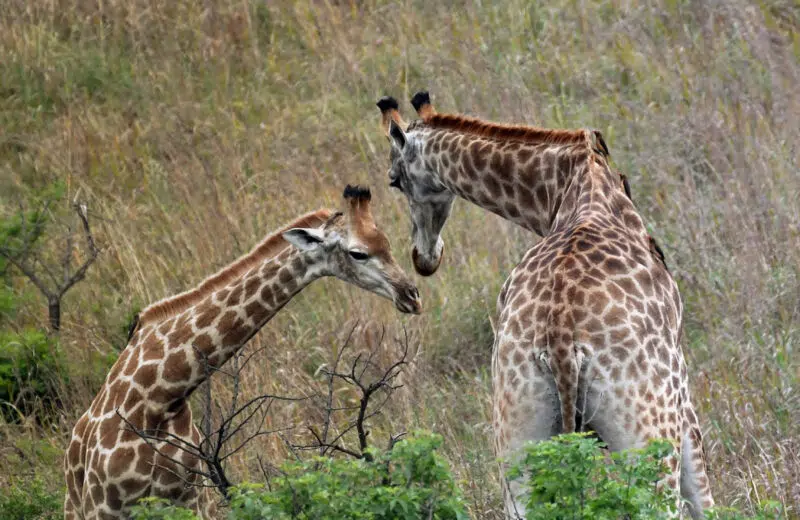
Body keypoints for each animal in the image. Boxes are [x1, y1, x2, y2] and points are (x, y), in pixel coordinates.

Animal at [65, 185, 422, 516]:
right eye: (358, 253)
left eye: (387, 244)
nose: (412, 296)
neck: (159, 398)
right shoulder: (104, 505)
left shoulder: (193, 498)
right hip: (76, 507)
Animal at [378, 94, 716, 520]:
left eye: (394, 179)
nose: (423, 258)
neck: (563, 187)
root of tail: (560, 338)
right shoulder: (684, 404)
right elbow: (706, 500)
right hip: (648, 435)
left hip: (517, 438)